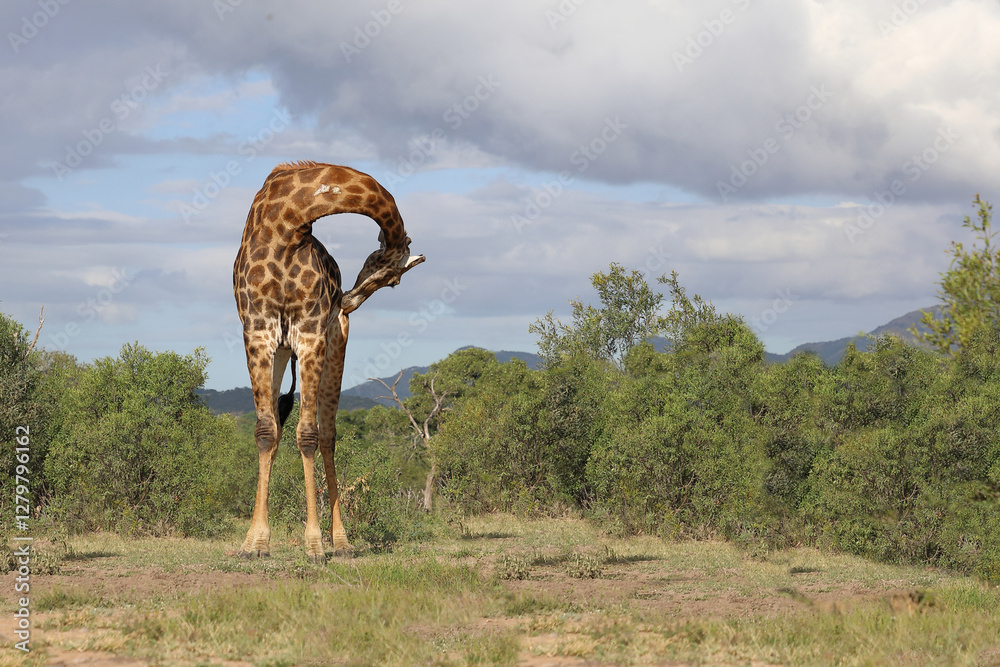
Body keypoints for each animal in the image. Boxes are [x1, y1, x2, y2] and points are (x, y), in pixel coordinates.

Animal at [233, 160, 424, 562]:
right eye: (396, 280)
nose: (345, 301)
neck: (288, 222)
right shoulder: (257, 331)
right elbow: (265, 431)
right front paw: (255, 543)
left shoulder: (310, 332)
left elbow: (307, 434)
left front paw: (315, 545)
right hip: (282, 351)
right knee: (278, 426)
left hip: (333, 344)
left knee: (327, 435)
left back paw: (342, 543)